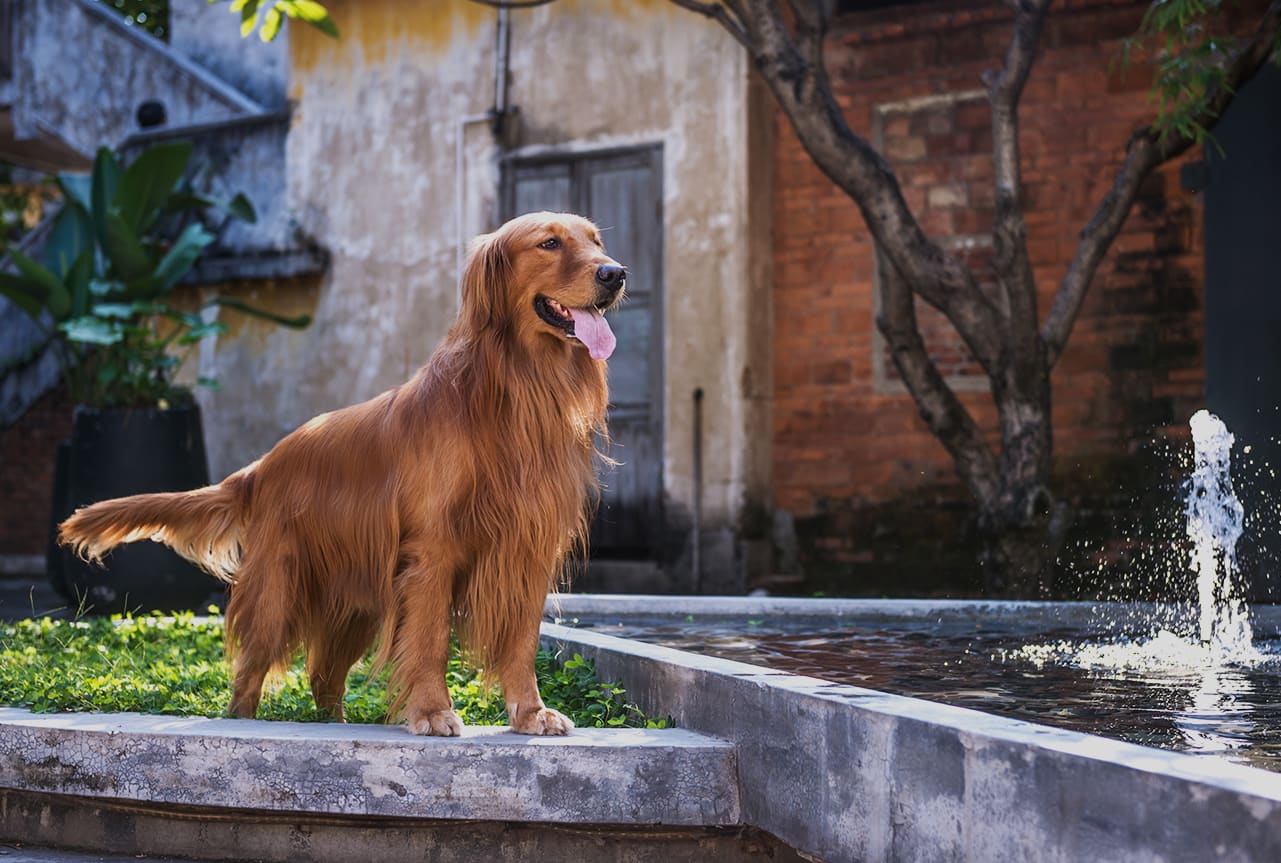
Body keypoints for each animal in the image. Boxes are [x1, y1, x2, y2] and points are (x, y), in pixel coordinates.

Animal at [61, 211, 625, 737]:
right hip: (278, 592)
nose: (616, 273)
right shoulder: (433, 552)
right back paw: (246, 719)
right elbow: (430, 643)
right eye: (549, 243)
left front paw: (530, 713)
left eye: (596, 240)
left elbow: (521, 645)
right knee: (249, 677)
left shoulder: (528, 551)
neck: (515, 391)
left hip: (354, 606)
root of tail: (262, 465)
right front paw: (432, 712)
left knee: (324, 679)